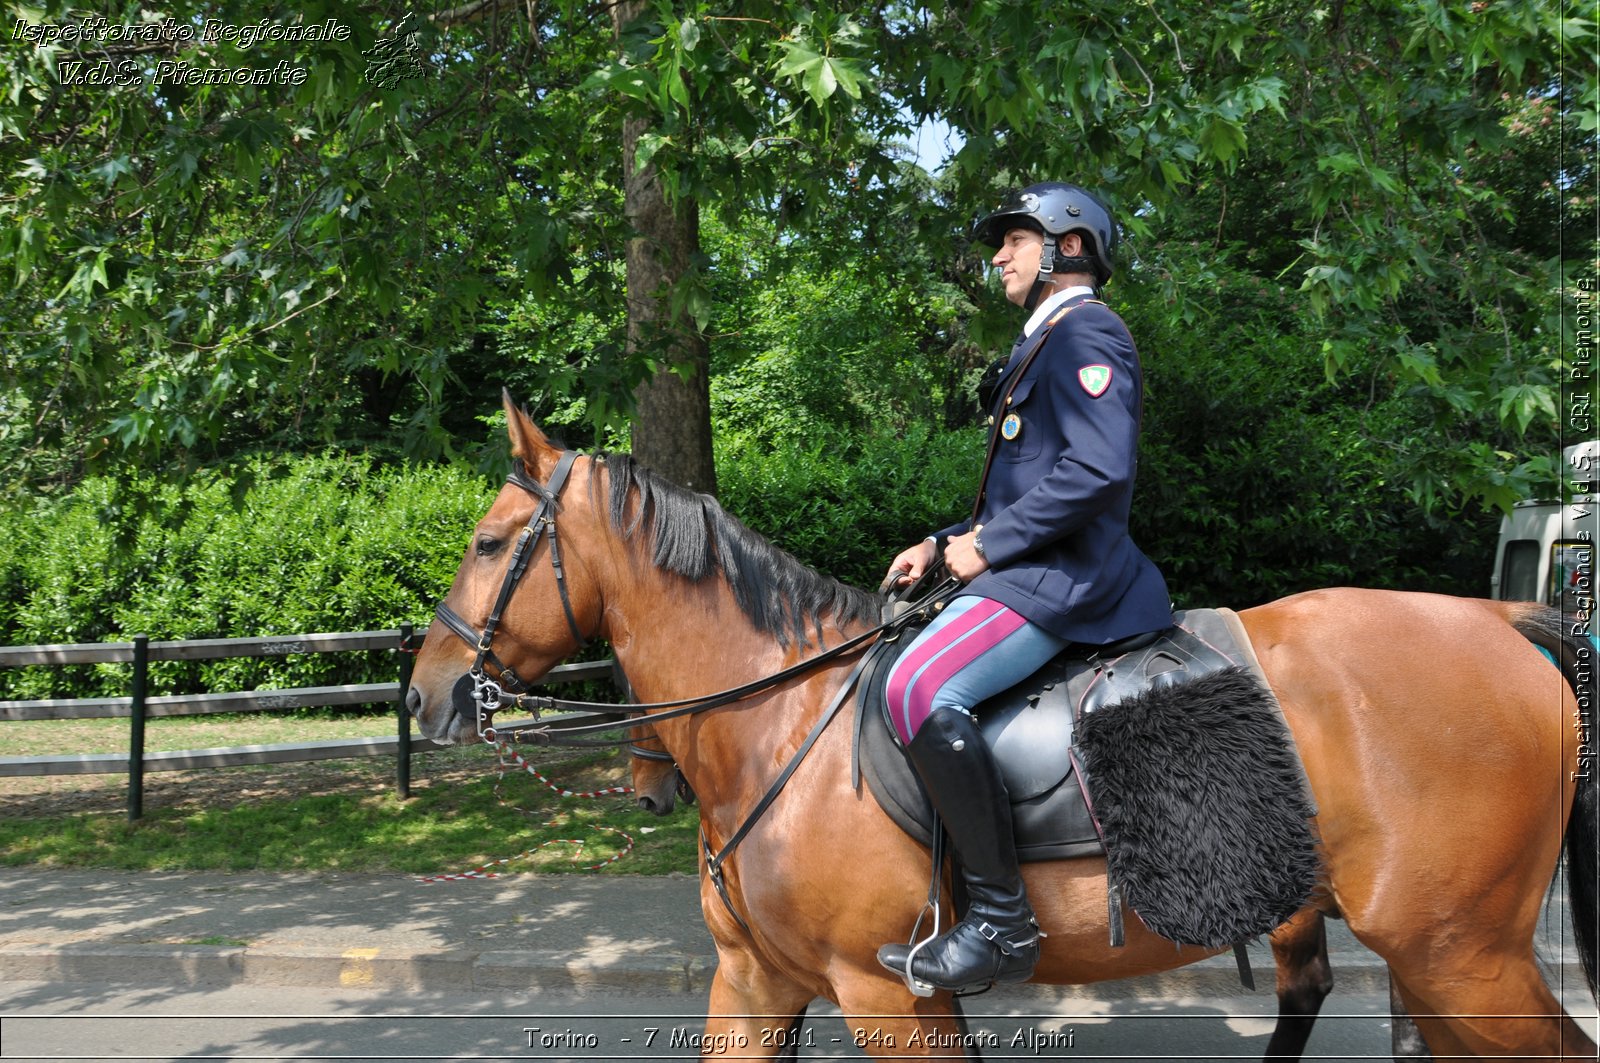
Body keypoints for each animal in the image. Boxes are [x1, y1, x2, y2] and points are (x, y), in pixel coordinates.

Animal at [406, 397, 1593, 1056]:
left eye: (488, 540)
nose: (423, 693)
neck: (776, 717)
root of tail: (1502, 622)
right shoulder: (754, 982)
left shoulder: (887, 994)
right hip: (1435, 959)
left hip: (1460, 955)